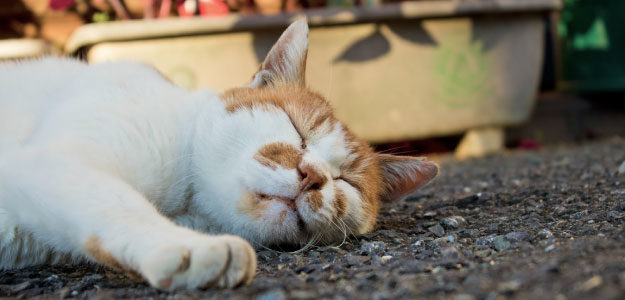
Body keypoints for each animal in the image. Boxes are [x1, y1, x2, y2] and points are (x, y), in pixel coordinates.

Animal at [0, 19, 438, 290]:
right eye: (298, 131)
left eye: (345, 181)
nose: (312, 176)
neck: (186, 202)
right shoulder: (58, 161)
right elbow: (118, 204)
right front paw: (188, 248)